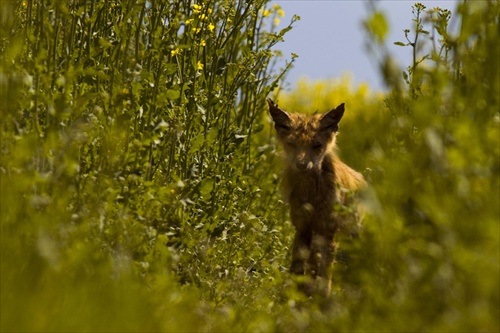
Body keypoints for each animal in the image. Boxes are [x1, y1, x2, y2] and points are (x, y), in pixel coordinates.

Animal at [268, 98, 366, 296]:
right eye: (292, 144)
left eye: (317, 146)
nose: (302, 164)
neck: (311, 196)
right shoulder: (302, 226)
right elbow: (298, 267)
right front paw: (292, 296)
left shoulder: (327, 230)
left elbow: (322, 273)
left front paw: (319, 298)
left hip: (352, 234)